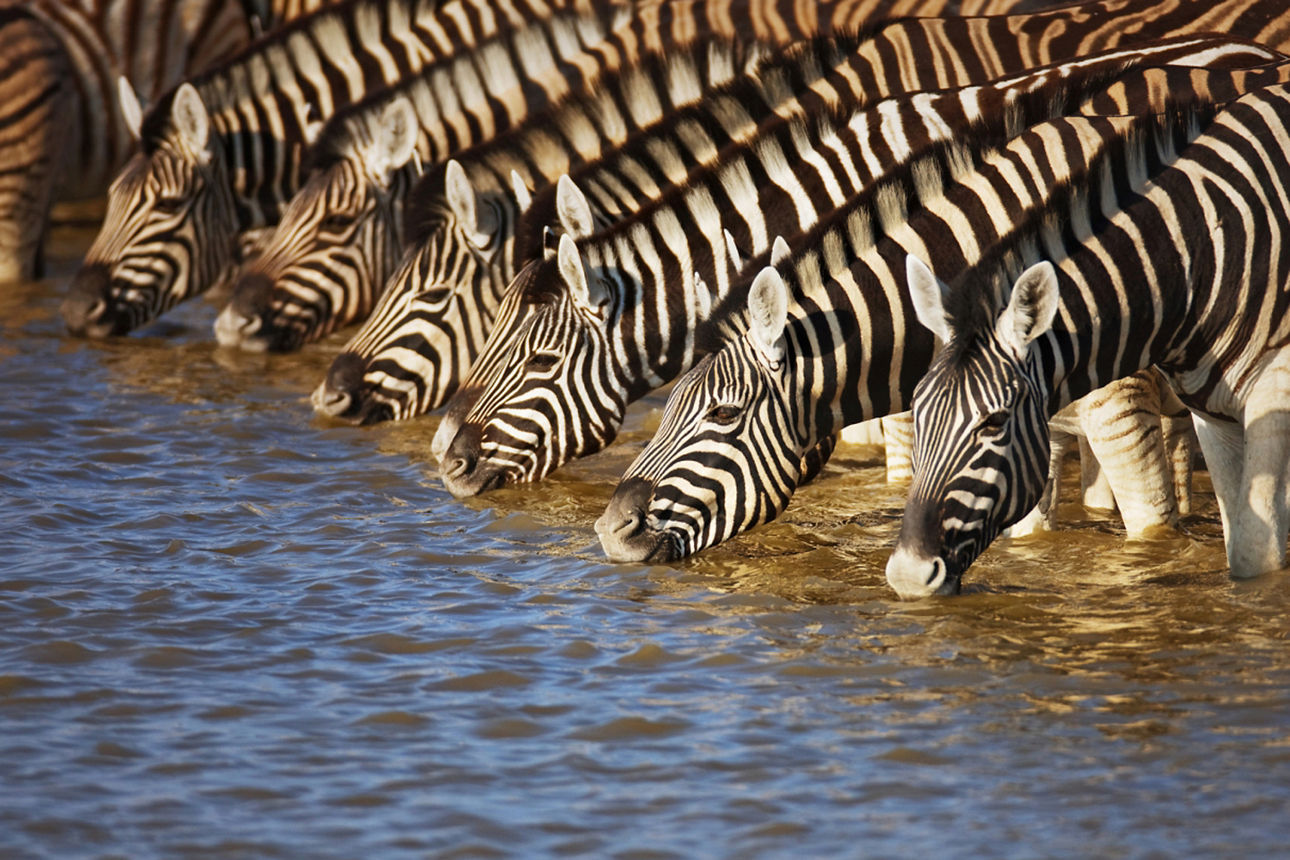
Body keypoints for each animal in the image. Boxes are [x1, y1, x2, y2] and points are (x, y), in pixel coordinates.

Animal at [591, 72, 1268, 564]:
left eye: (724, 414)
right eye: (669, 406)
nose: (607, 531)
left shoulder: (1118, 413)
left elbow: (1151, 534)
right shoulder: (1025, 432)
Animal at [885, 81, 1290, 598]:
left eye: (995, 423)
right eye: (917, 411)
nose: (907, 575)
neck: (1200, 254)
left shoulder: (1270, 393)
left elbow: (1254, 554)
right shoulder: (1213, 414)